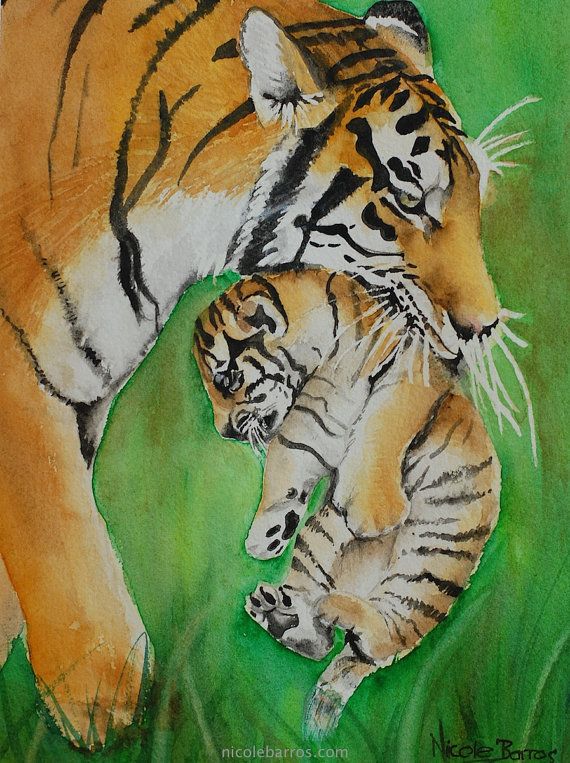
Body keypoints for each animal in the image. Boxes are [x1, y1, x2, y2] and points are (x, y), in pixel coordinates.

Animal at [194, 268, 501, 738]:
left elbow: (384, 423)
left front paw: (372, 512)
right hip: (322, 539)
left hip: (435, 554)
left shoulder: (406, 370)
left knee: (385, 638)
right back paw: (284, 613)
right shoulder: (306, 420)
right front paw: (267, 534)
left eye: (226, 381)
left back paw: (340, 608)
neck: (323, 363)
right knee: (324, 640)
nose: (224, 431)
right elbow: (287, 463)